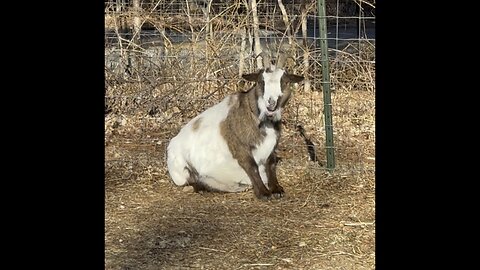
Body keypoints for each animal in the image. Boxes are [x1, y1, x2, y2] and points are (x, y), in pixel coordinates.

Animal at [168, 53, 304, 199]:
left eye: (284, 82)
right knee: (192, 180)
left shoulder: (272, 148)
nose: (271, 103)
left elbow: (271, 164)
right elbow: (252, 166)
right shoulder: (240, 147)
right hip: (180, 171)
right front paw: (263, 192)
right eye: (261, 82)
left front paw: (277, 189)